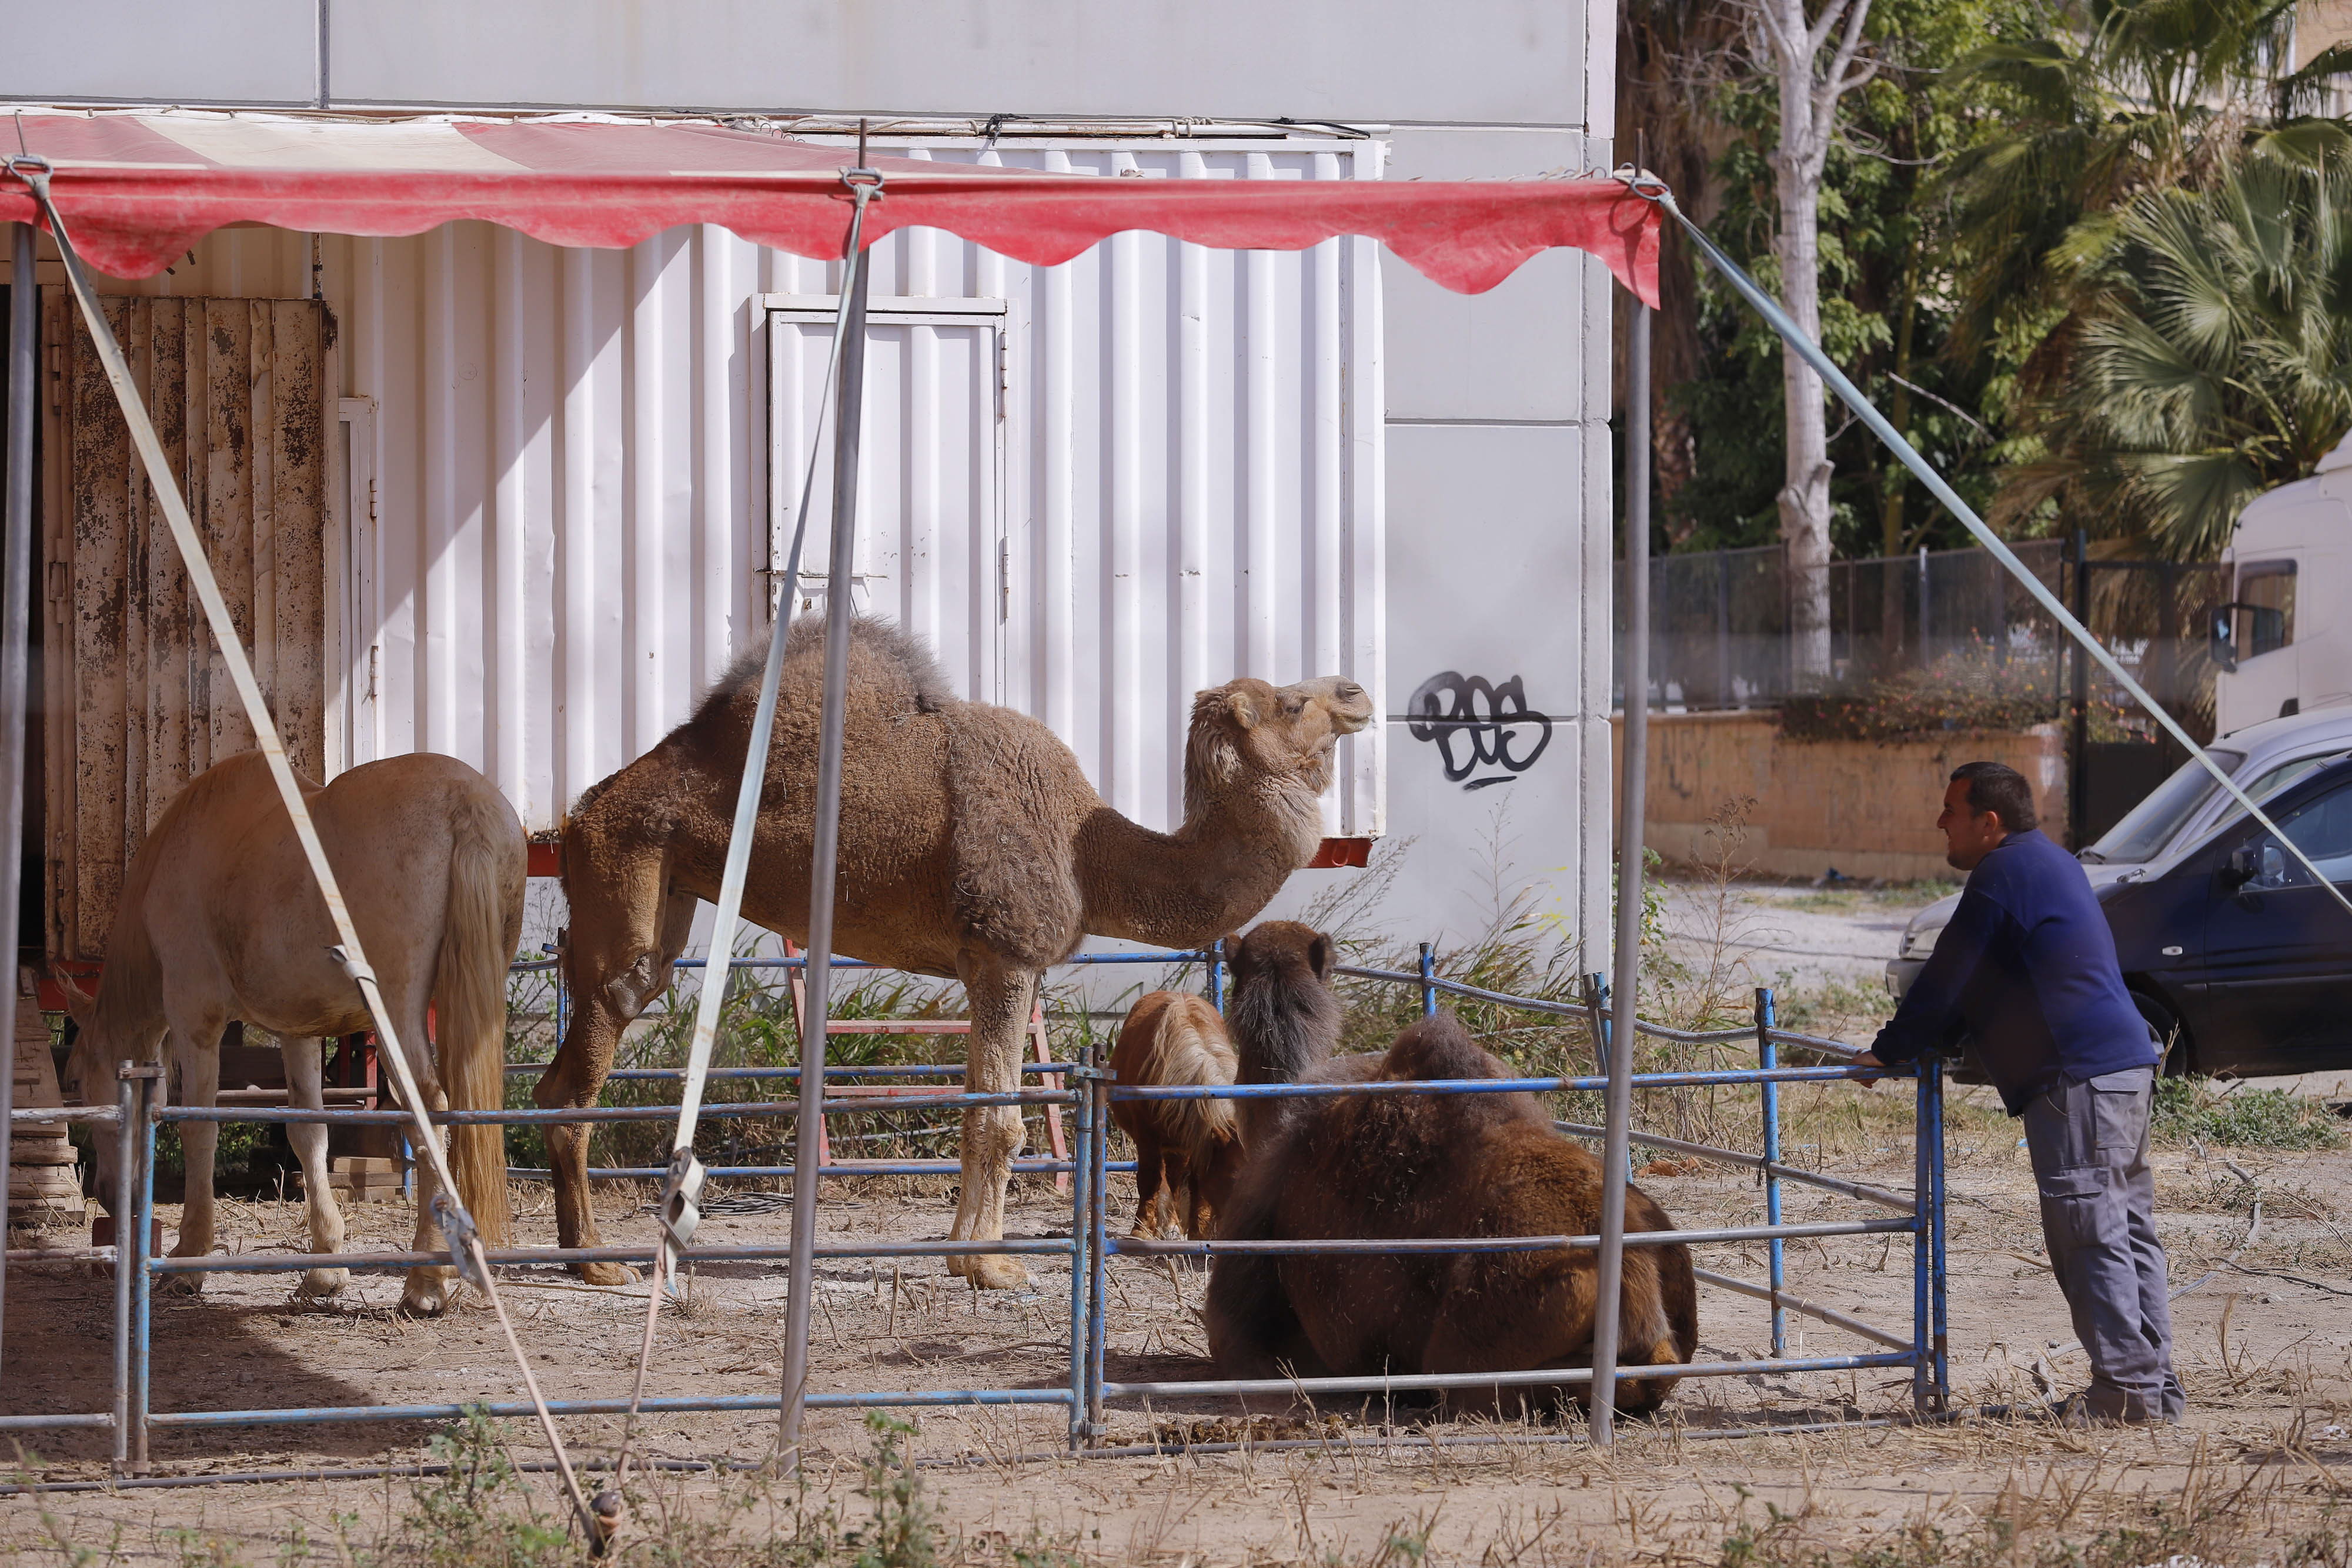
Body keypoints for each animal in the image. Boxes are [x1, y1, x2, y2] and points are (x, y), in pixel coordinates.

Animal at [66, 752, 527, 1316]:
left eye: (76, 1079)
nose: (108, 1192)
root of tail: (466, 804)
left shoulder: (197, 1022)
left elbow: (200, 1130)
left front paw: (190, 1258)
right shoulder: (298, 1031)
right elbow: (309, 1135)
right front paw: (324, 1271)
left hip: (395, 1015)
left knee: (428, 1111)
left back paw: (425, 1282)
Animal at [1105, 992, 1242, 1241]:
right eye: (1232, 1177)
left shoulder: (1198, 1141)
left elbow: (1196, 1182)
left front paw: (1198, 1231)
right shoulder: (1147, 1137)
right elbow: (1150, 1179)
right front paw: (1141, 1230)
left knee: (1176, 1178)